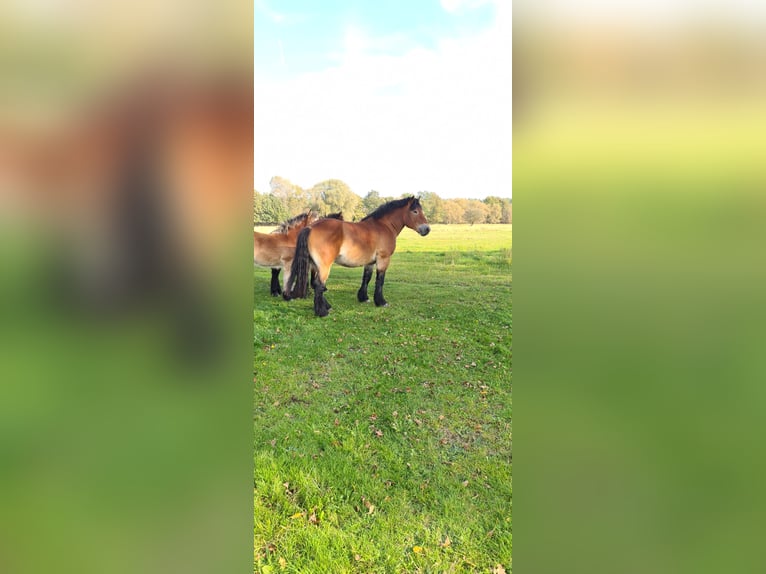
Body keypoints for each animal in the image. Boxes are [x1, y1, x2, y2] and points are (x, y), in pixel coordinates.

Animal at [288, 196, 432, 318]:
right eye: (415, 211)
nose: (427, 229)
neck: (384, 226)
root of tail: (310, 227)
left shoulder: (370, 262)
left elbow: (366, 278)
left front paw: (363, 297)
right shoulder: (383, 259)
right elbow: (380, 280)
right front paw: (381, 301)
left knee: (316, 284)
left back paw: (327, 306)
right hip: (324, 266)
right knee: (319, 285)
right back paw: (322, 312)